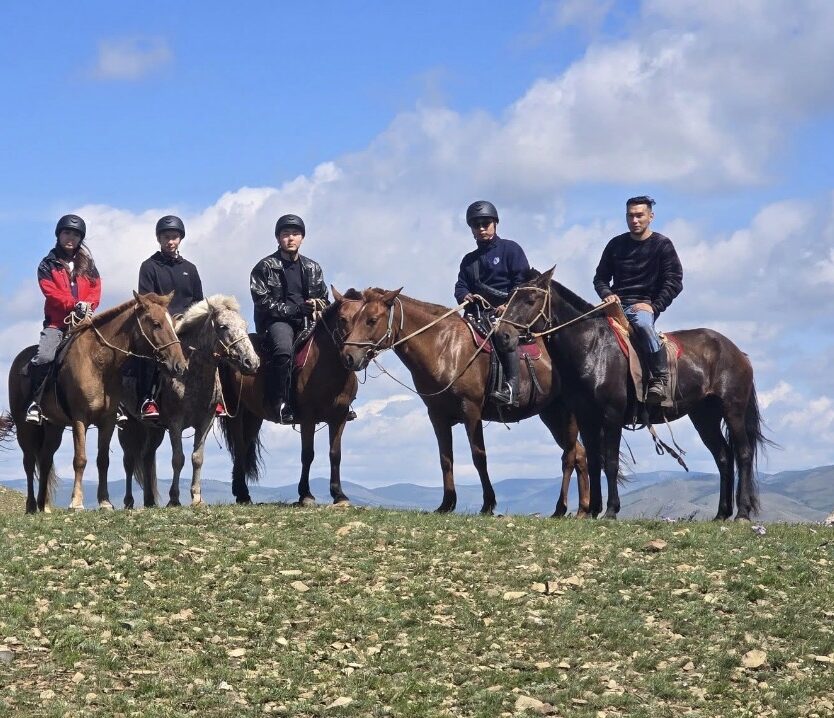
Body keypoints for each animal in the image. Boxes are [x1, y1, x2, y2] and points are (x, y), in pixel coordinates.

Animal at [1, 292, 187, 513]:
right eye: (157, 323)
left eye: (172, 323)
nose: (179, 365)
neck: (98, 362)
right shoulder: (79, 419)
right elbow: (80, 459)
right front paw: (76, 502)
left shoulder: (107, 421)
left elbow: (103, 460)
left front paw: (105, 502)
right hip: (24, 427)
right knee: (29, 461)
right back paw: (30, 505)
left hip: (54, 427)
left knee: (45, 460)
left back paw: (43, 505)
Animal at [118, 295, 260, 509]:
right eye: (223, 326)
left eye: (244, 325)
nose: (252, 362)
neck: (190, 372)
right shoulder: (175, 423)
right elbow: (178, 459)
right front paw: (174, 498)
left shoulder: (205, 422)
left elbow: (197, 458)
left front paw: (197, 498)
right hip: (128, 424)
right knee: (128, 460)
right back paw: (128, 501)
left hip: (154, 429)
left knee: (147, 457)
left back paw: (149, 501)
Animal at [217, 297, 359, 506]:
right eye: (342, 319)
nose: (354, 356)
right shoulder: (308, 417)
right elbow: (307, 454)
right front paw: (305, 494)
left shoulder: (339, 417)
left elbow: (335, 454)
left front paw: (339, 495)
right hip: (236, 411)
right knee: (240, 447)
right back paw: (242, 494)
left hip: (254, 416)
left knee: (244, 445)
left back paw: (241, 493)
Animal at [333, 286, 590, 516]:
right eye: (353, 318)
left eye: (372, 320)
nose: (348, 356)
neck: (445, 349)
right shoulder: (437, 415)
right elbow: (446, 458)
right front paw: (447, 504)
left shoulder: (471, 411)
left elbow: (478, 456)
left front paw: (488, 504)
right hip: (552, 414)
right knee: (579, 453)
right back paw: (584, 509)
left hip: (567, 413)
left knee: (569, 455)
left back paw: (562, 508)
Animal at [497, 268, 773, 520]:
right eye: (511, 296)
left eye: (530, 300)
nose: (503, 335)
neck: (592, 348)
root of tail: (738, 352)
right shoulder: (587, 417)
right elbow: (595, 461)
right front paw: (593, 510)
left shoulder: (612, 415)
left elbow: (610, 461)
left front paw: (610, 510)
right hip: (704, 417)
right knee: (723, 457)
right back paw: (721, 514)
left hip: (732, 411)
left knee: (743, 454)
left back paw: (742, 513)